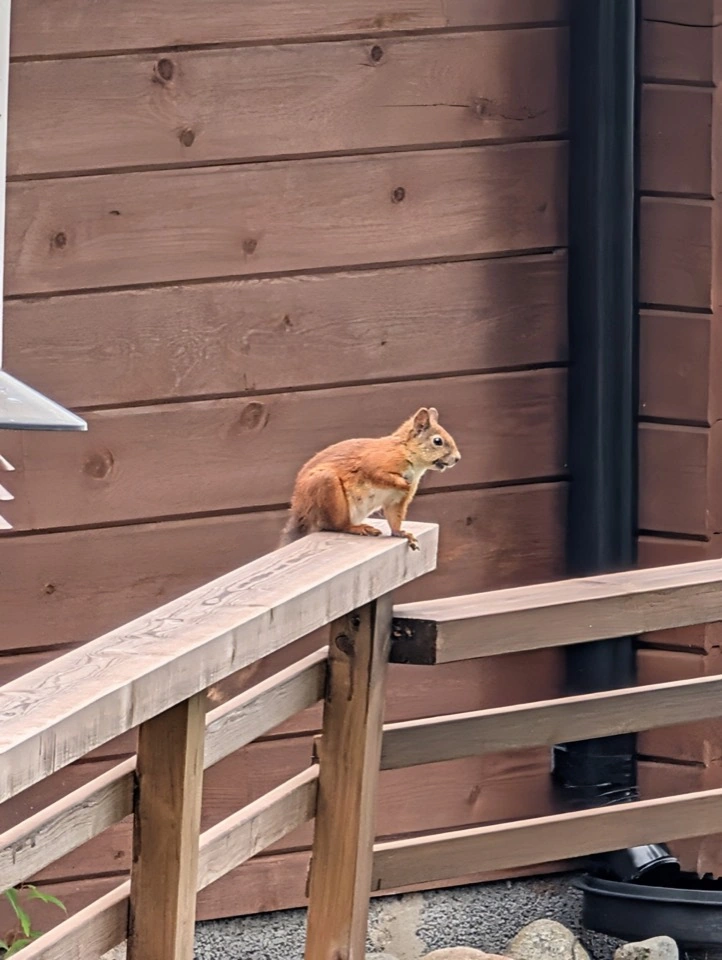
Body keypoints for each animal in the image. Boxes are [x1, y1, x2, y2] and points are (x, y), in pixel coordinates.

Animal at [280, 407, 460, 551]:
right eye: (437, 441)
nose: (457, 458)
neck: (406, 452)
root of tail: (300, 512)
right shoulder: (375, 463)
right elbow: (377, 473)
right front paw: (403, 483)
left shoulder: (396, 500)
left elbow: (394, 517)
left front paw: (402, 533)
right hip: (326, 487)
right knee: (335, 525)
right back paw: (357, 528)